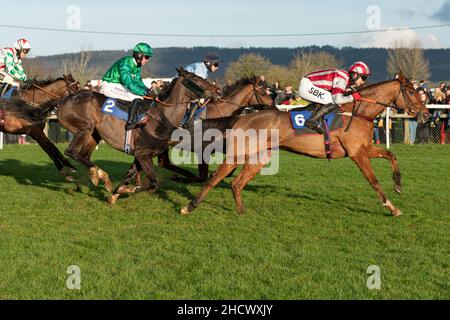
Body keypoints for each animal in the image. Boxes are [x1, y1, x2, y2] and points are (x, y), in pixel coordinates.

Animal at [56, 67, 221, 195]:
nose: (217, 89)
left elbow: (131, 175)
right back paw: (101, 176)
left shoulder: (144, 155)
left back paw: (97, 176)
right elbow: (153, 183)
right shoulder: (143, 154)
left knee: (84, 155)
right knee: (71, 151)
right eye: (194, 77)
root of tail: (63, 101)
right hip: (85, 128)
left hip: (94, 135)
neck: (161, 117)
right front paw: (125, 190)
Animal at [181, 72, 430, 218]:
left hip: (261, 157)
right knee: (215, 178)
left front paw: (398, 184)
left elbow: (391, 155)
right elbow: (374, 181)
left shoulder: (364, 148)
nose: (426, 114)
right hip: (237, 155)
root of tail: (241, 117)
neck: (358, 112)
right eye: (411, 91)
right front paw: (391, 207)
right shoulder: (357, 154)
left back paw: (241, 212)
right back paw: (189, 206)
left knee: (237, 183)